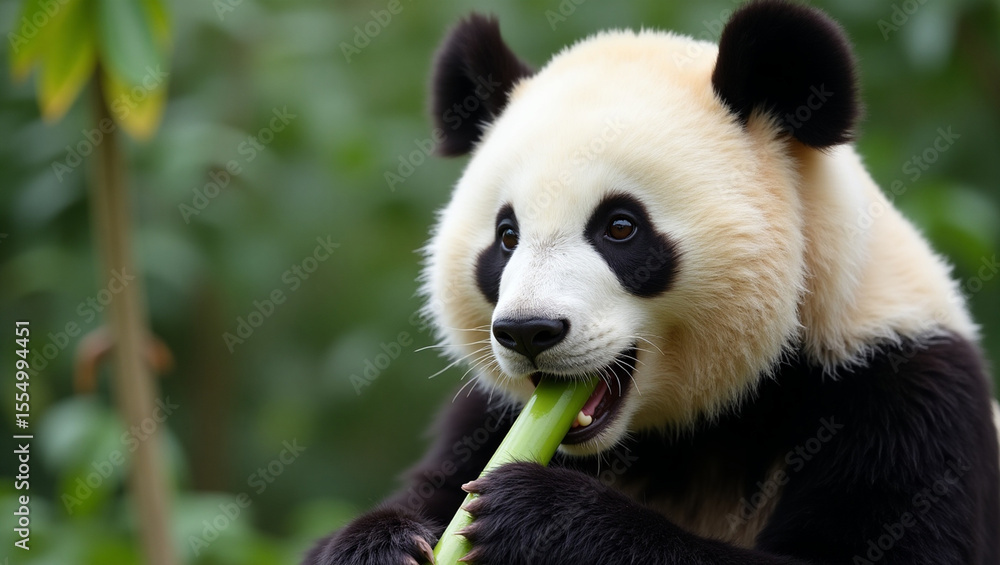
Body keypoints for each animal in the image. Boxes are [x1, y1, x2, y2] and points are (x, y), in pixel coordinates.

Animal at [308, 1, 1000, 564]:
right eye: (506, 236)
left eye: (620, 227)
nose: (529, 331)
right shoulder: (488, 417)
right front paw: (382, 543)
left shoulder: (897, 390)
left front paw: (538, 514)